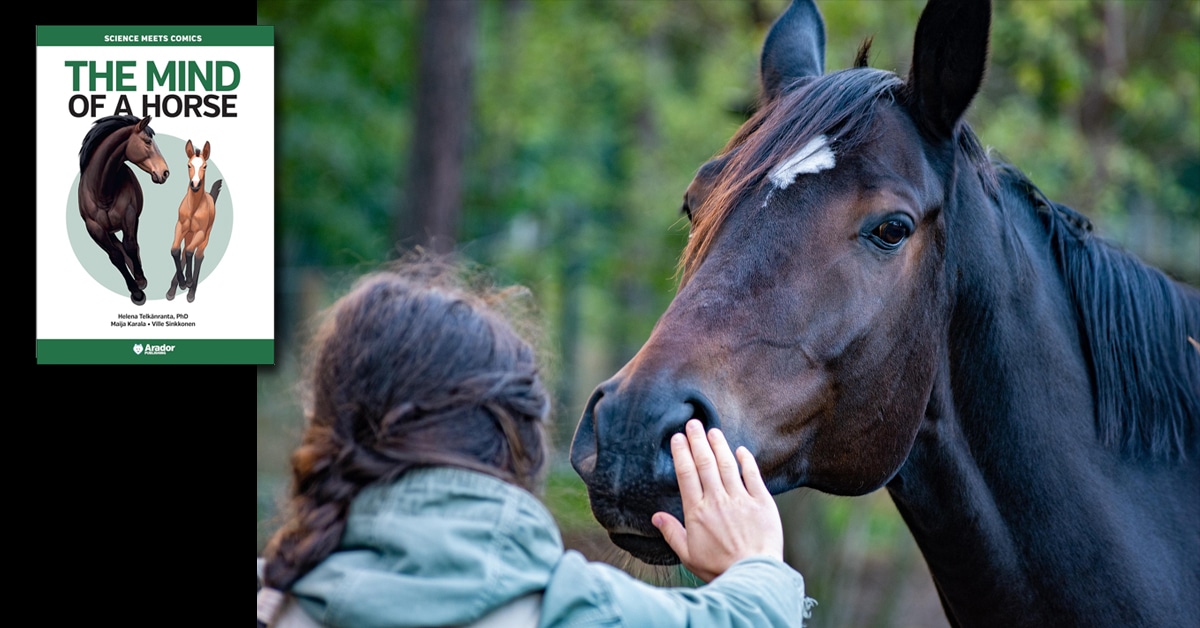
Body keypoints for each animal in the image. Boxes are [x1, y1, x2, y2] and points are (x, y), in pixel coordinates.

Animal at [77, 115, 169, 305]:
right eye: (148, 141)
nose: (165, 172)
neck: (102, 192)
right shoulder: (94, 228)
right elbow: (115, 256)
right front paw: (136, 292)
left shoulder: (130, 216)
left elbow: (131, 246)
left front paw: (140, 280)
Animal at [167, 139, 222, 303]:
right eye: (188, 165)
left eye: (205, 166)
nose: (195, 184)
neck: (193, 209)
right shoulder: (180, 227)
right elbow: (175, 250)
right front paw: (181, 282)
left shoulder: (201, 233)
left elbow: (191, 252)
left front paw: (189, 281)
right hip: (188, 234)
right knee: (185, 251)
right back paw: (173, 288)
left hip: (205, 236)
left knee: (198, 255)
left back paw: (191, 291)